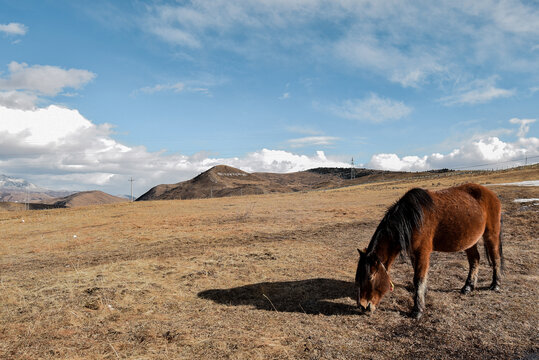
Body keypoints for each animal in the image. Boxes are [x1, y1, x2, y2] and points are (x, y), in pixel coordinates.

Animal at [356, 184, 504, 320]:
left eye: (370, 277)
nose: (363, 306)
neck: (412, 218)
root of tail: (491, 194)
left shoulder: (423, 252)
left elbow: (419, 279)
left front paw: (417, 310)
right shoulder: (413, 254)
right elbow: (419, 277)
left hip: (491, 234)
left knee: (495, 257)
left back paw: (495, 284)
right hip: (469, 240)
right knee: (475, 259)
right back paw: (468, 286)